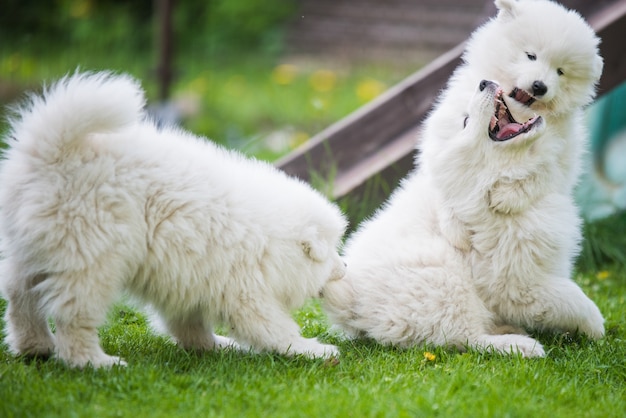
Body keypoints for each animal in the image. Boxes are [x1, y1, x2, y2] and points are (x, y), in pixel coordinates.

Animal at [0, 72, 346, 370]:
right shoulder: (244, 288)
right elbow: (273, 327)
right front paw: (312, 350)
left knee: (20, 296)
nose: (344, 268)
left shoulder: (188, 277)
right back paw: (94, 362)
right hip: (91, 257)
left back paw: (35, 347)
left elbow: (188, 322)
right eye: (329, 252)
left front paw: (213, 345)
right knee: (72, 314)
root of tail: (52, 154)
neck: (270, 239)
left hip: (34, 250)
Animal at [320, 0, 604, 356]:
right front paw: (597, 329)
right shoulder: (519, 284)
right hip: (446, 280)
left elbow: (548, 171)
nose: (484, 83)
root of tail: (353, 306)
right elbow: (572, 298)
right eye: (466, 120)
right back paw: (519, 345)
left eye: (561, 71)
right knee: (466, 338)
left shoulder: (563, 150)